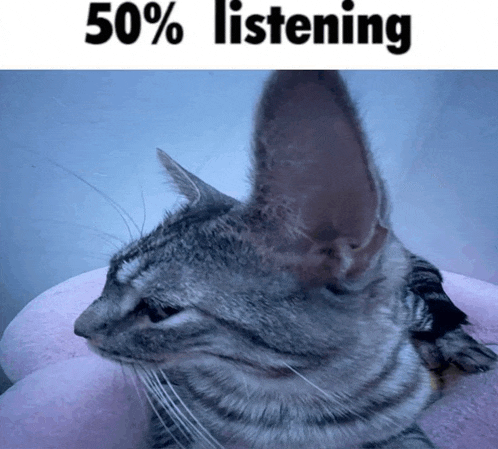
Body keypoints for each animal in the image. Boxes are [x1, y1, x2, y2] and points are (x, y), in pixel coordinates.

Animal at [73, 72, 494, 446]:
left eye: (160, 310)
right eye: (109, 272)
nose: (78, 329)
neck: (289, 402)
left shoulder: (401, 426)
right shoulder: (170, 420)